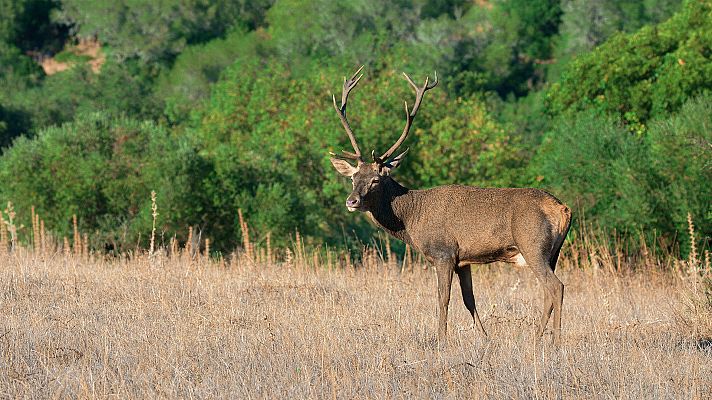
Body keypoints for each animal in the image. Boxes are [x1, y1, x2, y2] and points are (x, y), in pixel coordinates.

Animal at [330, 65, 572, 344]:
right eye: (353, 178)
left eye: (376, 180)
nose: (352, 201)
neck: (411, 220)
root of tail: (564, 209)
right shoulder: (463, 260)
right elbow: (469, 300)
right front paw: (484, 337)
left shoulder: (443, 252)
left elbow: (442, 298)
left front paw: (441, 339)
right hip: (553, 252)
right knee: (548, 290)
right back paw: (540, 337)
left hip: (532, 245)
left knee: (556, 286)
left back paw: (550, 341)